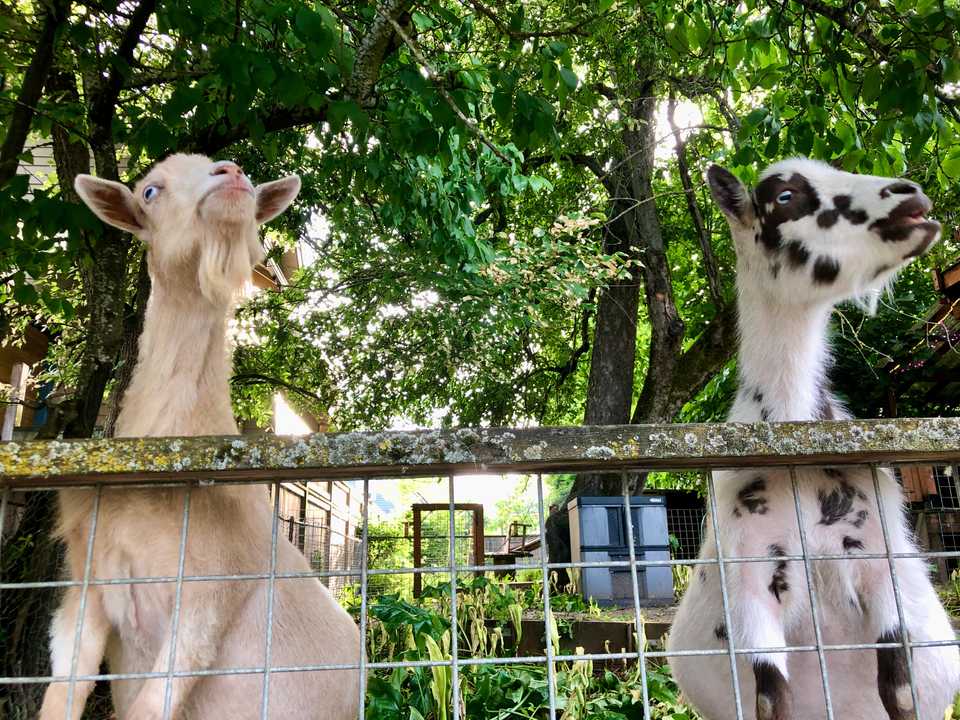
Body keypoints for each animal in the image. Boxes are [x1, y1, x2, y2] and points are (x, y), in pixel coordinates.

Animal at [38, 156, 364, 720]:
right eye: (150, 190)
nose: (231, 172)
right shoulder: (87, 587)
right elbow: (62, 695)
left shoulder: (209, 595)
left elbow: (151, 708)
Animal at [668, 159, 960, 720]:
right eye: (784, 196)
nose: (911, 195)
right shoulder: (752, 582)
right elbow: (771, 698)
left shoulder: (878, 568)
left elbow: (900, 691)